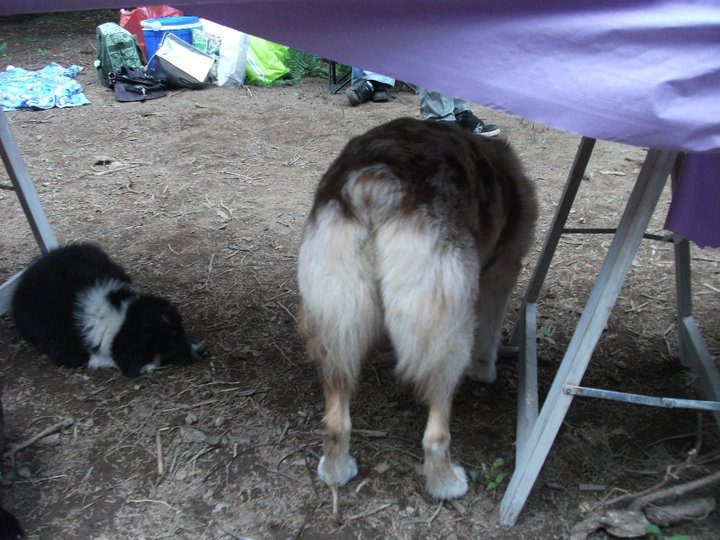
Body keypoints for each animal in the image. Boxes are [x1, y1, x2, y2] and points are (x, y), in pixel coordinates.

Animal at [296, 118, 536, 498]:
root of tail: (375, 180)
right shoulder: (502, 271)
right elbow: (490, 334)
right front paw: (486, 370)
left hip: (334, 322)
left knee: (335, 422)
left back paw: (336, 471)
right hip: (447, 333)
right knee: (435, 434)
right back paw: (447, 483)